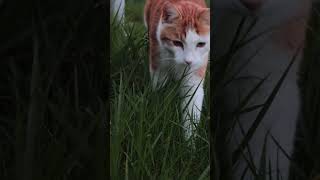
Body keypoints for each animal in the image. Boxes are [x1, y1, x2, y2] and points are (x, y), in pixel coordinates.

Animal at [143, 0, 210, 140]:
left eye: (201, 44)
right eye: (177, 43)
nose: (188, 61)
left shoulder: (195, 75)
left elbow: (191, 111)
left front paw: (189, 143)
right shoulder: (159, 67)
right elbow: (159, 91)